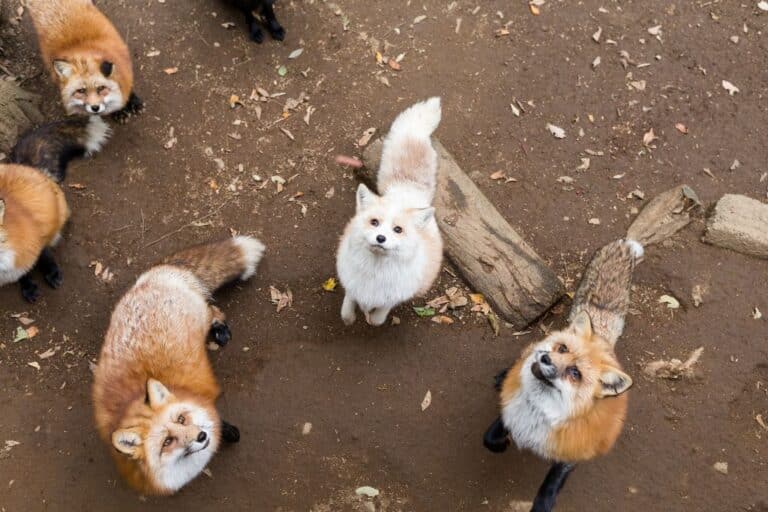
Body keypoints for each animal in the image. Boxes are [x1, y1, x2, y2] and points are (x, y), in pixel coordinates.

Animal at [92, 236, 265, 495]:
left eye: (181, 419)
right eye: (167, 441)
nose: (202, 436)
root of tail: (156, 273)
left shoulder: (205, 401)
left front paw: (228, 433)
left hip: (202, 316)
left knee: (214, 309)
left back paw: (220, 331)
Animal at [336, 97, 443, 326]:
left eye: (398, 229)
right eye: (374, 222)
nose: (380, 238)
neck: (375, 276)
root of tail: (406, 190)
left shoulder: (393, 297)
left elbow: (378, 318)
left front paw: (370, 317)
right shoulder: (351, 281)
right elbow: (347, 307)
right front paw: (351, 317)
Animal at [483, 239, 644, 512]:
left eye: (575, 373)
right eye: (562, 349)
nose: (546, 359)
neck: (536, 414)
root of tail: (603, 339)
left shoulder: (574, 448)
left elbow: (552, 482)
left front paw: (543, 504)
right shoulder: (511, 409)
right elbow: (489, 438)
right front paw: (501, 443)